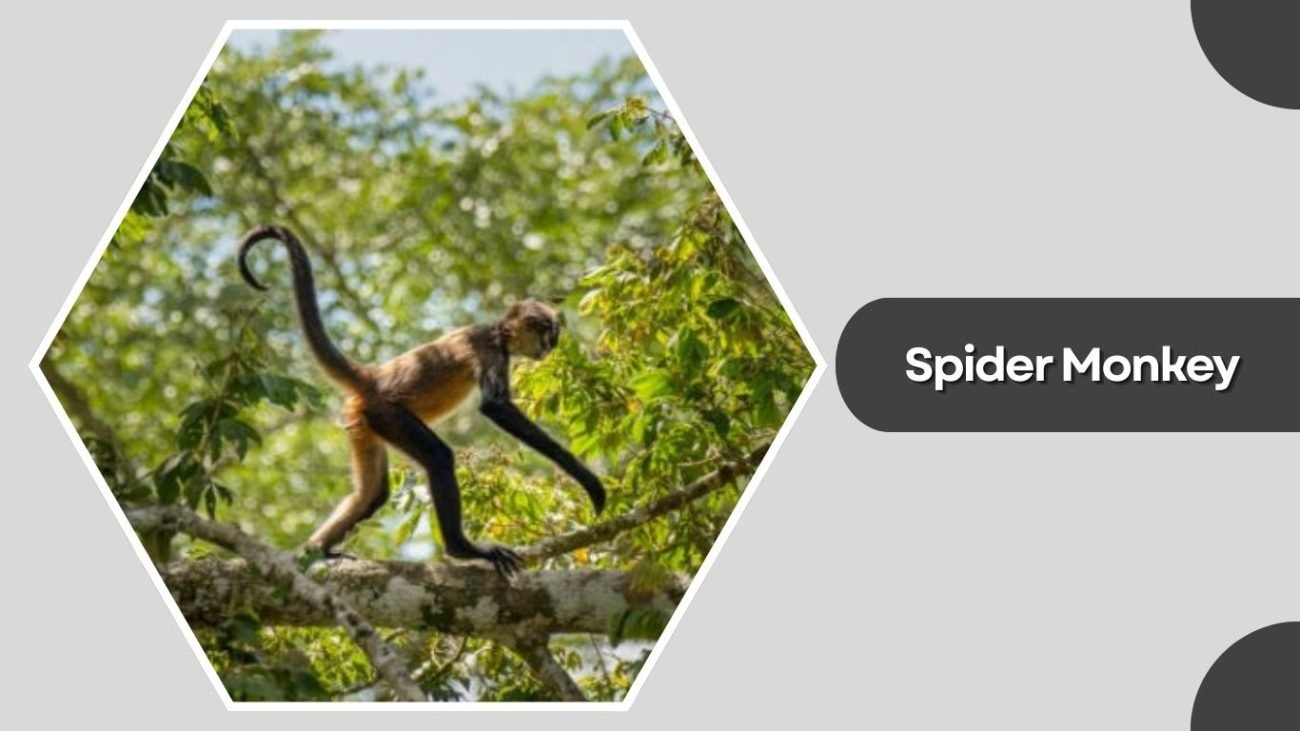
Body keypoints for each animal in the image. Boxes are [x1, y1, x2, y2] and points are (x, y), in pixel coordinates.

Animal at [237, 225, 607, 577]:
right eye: (548, 335)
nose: (550, 349)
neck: (496, 334)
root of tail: (374, 376)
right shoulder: (489, 350)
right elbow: (494, 407)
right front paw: (585, 477)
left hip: (364, 421)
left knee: (373, 494)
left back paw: (315, 550)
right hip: (387, 414)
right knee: (439, 458)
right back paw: (462, 549)